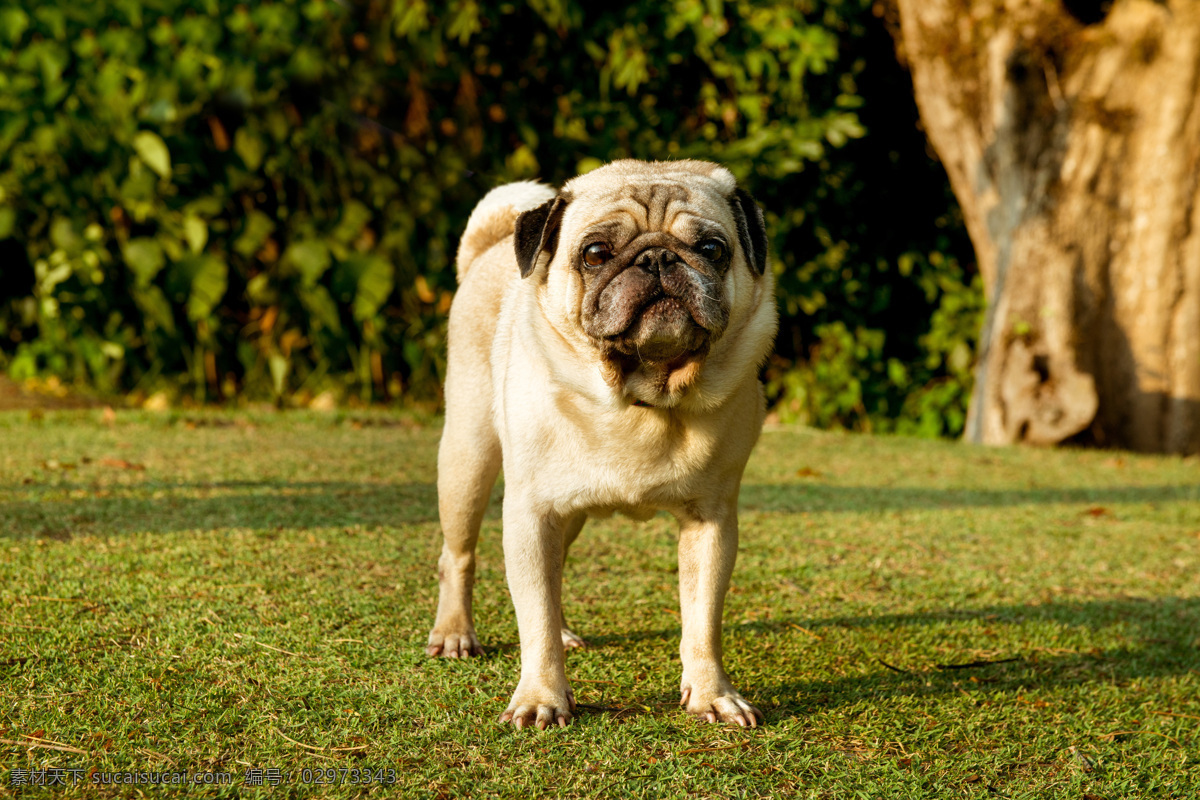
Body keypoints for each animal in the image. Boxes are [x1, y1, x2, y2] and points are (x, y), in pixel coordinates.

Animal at [429, 158, 777, 734]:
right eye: (595, 254)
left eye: (711, 249)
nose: (658, 257)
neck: (643, 396)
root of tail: (488, 247)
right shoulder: (530, 515)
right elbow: (534, 617)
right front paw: (541, 697)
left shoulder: (712, 523)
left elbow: (702, 620)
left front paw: (712, 694)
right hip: (467, 461)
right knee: (458, 556)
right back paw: (454, 632)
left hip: (568, 512)